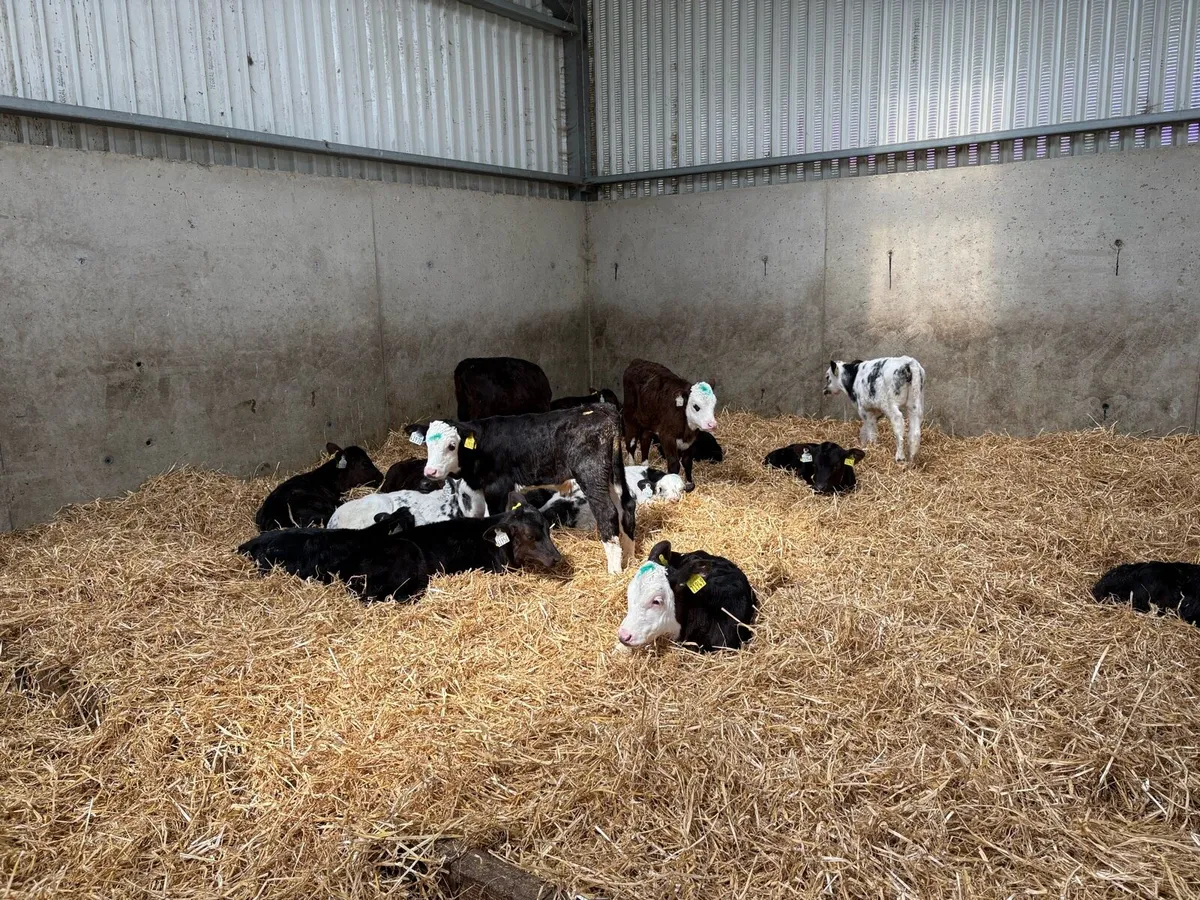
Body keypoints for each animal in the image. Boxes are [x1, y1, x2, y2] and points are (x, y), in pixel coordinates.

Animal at [408, 405, 636, 573]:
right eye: (427, 444)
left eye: (452, 446)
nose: (430, 471)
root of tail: (601, 409)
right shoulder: (475, 489)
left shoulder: (497, 487)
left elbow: (495, 518)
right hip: (612, 474)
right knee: (626, 504)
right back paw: (629, 555)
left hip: (591, 473)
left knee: (607, 512)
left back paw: (614, 570)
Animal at [622, 359, 718, 490]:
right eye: (696, 406)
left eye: (714, 404)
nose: (712, 424)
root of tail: (637, 361)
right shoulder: (667, 436)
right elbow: (674, 464)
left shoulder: (691, 439)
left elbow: (687, 461)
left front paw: (689, 483)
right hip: (629, 416)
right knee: (631, 443)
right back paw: (631, 466)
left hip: (649, 420)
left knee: (645, 439)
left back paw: (644, 465)